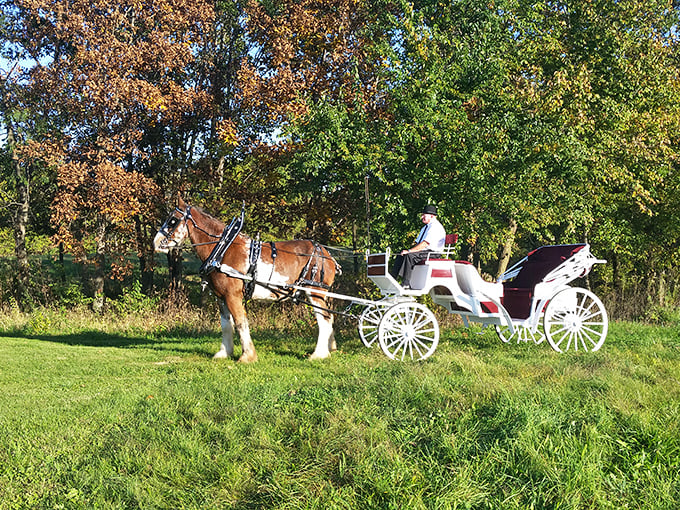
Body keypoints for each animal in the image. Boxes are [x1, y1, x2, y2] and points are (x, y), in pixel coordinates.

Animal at [153, 196, 340, 362]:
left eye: (172, 221)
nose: (156, 242)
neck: (223, 249)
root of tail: (327, 254)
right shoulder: (221, 297)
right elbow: (226, 325)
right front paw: (224, 352)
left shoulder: (233, 295)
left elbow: (240, 322)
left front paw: (247, 356)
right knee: (329, 318)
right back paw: (330, 348)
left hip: (314, 291)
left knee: (324, 319)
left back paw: (318, 354)